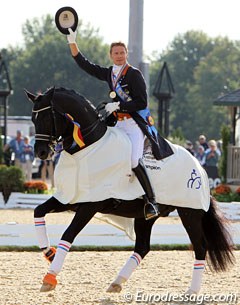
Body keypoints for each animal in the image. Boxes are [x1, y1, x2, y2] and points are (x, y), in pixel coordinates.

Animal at [25, 86, 233, 292]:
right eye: (33, 119)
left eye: (46, 118)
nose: (41, 152)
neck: (87, 148)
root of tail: (199, 167)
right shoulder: (70, 198)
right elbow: (38, 211)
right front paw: (49, 253)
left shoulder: (91, 204)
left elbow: (68, 234)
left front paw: (50, 277)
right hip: (145, 216)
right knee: (142, 246)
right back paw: (117, 282)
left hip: (190, 212)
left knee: (200, 247)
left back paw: (191, 292)